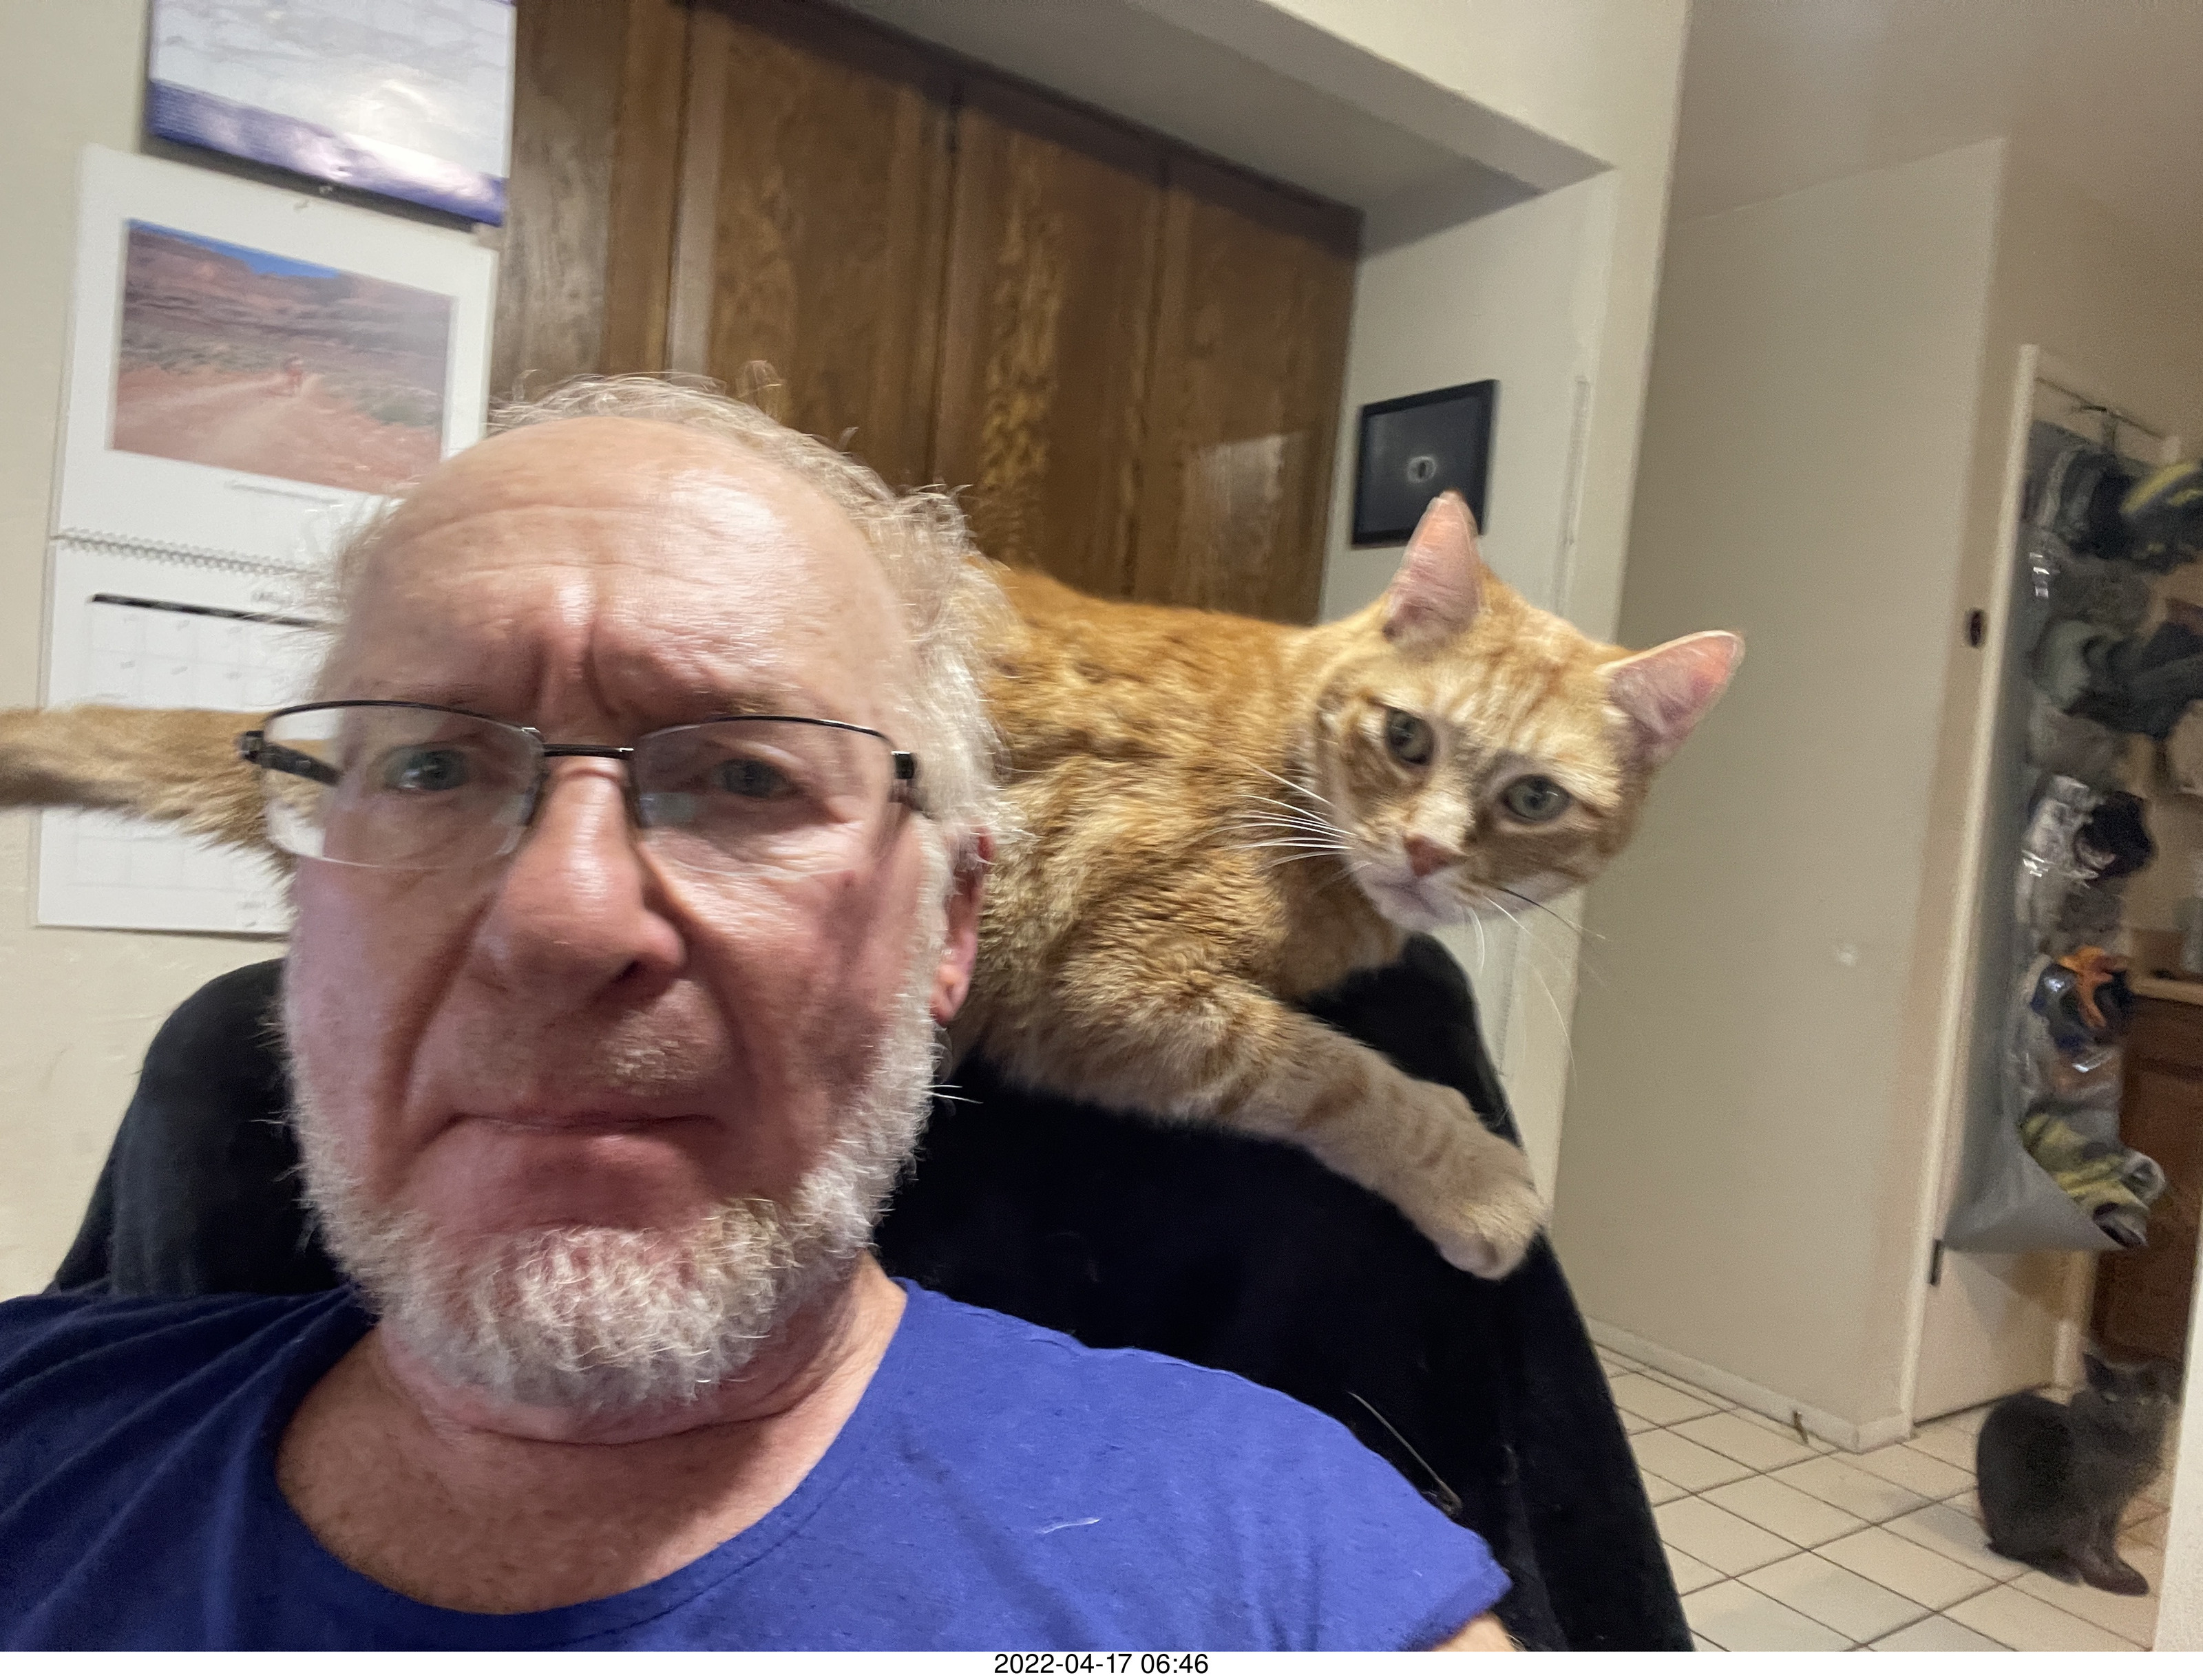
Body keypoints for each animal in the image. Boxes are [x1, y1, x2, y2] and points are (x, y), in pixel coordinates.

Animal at [1976, 1352, 2178, 1595]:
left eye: (2141, 1401)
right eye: (2110, 1398)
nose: (2128, 1414)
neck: (2125, 1452)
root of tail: (1993, 1532)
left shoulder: (2117, 1505)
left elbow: (2108, 1541)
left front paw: (2117, 1567)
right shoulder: (2090, 1504)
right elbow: (2089, 1545)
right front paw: (2105, 1574)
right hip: (2060, 1512)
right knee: (2016, 1551)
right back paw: (2063, 1569)